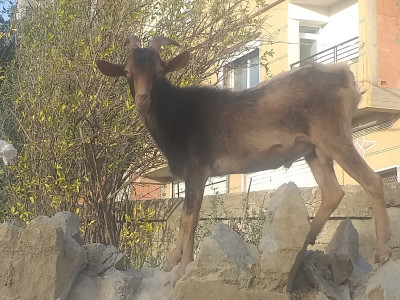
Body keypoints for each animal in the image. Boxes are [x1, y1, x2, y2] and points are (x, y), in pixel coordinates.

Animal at [97, 36, 390, 282]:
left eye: (159, 71)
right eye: (127, 71)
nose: (142, 98)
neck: (177, 113)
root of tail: (344, 76)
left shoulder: (197, 170)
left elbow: (188, 218)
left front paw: (181, 269)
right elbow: (186, 216)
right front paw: (170, 265)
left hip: (335, 138)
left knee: (372, 181)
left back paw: (383, 252)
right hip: (313, 150)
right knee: (332, 192)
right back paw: (306, 238)